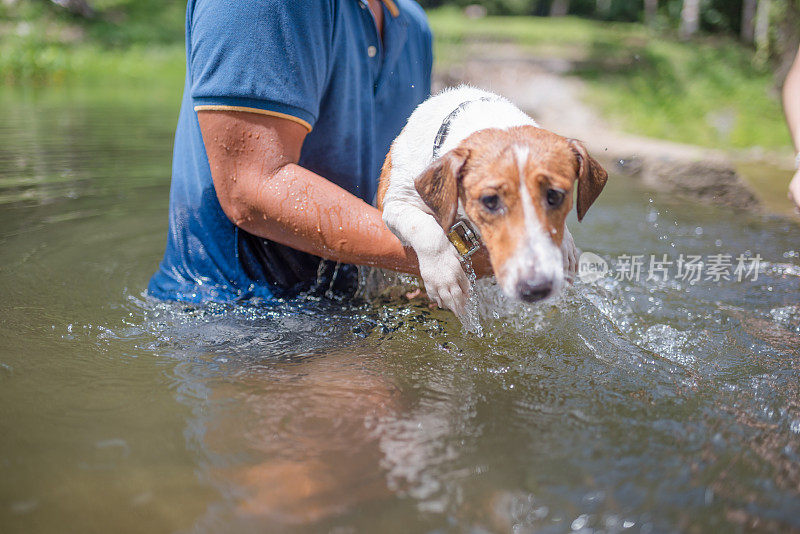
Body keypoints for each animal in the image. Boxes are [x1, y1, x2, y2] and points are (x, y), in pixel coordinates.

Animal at [376, 86, 608, 316]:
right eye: (489, 200)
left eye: (555, 195)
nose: (535, 286)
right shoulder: (397, 202)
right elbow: (424, 229)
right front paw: (445, 276)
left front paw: (565, 248)